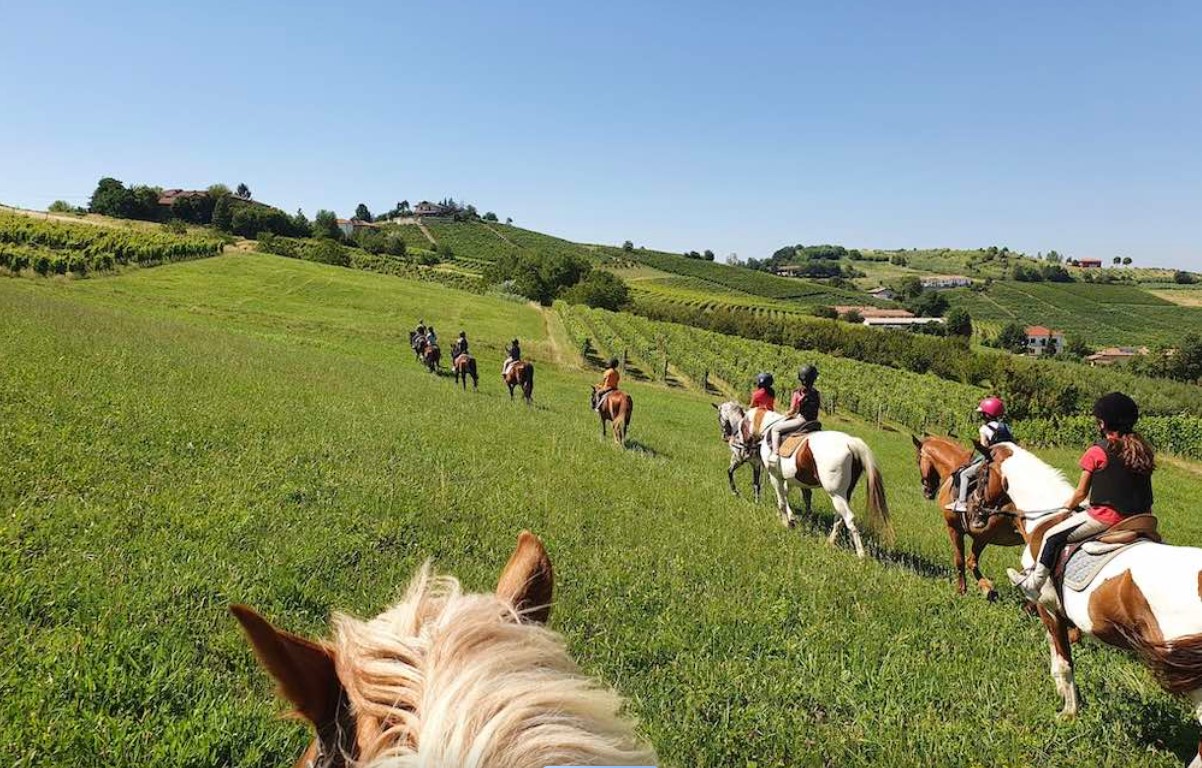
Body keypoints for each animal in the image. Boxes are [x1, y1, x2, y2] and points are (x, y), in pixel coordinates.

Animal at [715, 401, 892, 558]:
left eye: (721, 418)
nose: (736, 445)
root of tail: (851, 442)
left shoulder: (775, 476)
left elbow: (781, 500)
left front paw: (785, 522)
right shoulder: (789, 478)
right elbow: (787, 496)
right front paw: (790, 518)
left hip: (836, 493)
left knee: (849, 518)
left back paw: (861, 555)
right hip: (844, 494)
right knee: (839, 517)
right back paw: (830, 542)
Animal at [912, 434, 1026, 599]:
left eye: (918, 460)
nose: (927, 492)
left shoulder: (956, 529)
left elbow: (961, 560)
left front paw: (964, 590)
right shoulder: (982, 536)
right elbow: (971, 561)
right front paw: (987, 588)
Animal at [984, 442, 1202, 760]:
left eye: (979, 472)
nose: (977, 513)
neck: (1046, 521)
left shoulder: (1047, 607)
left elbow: (1064, 662)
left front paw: (1068, 712)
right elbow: (1056, 654)